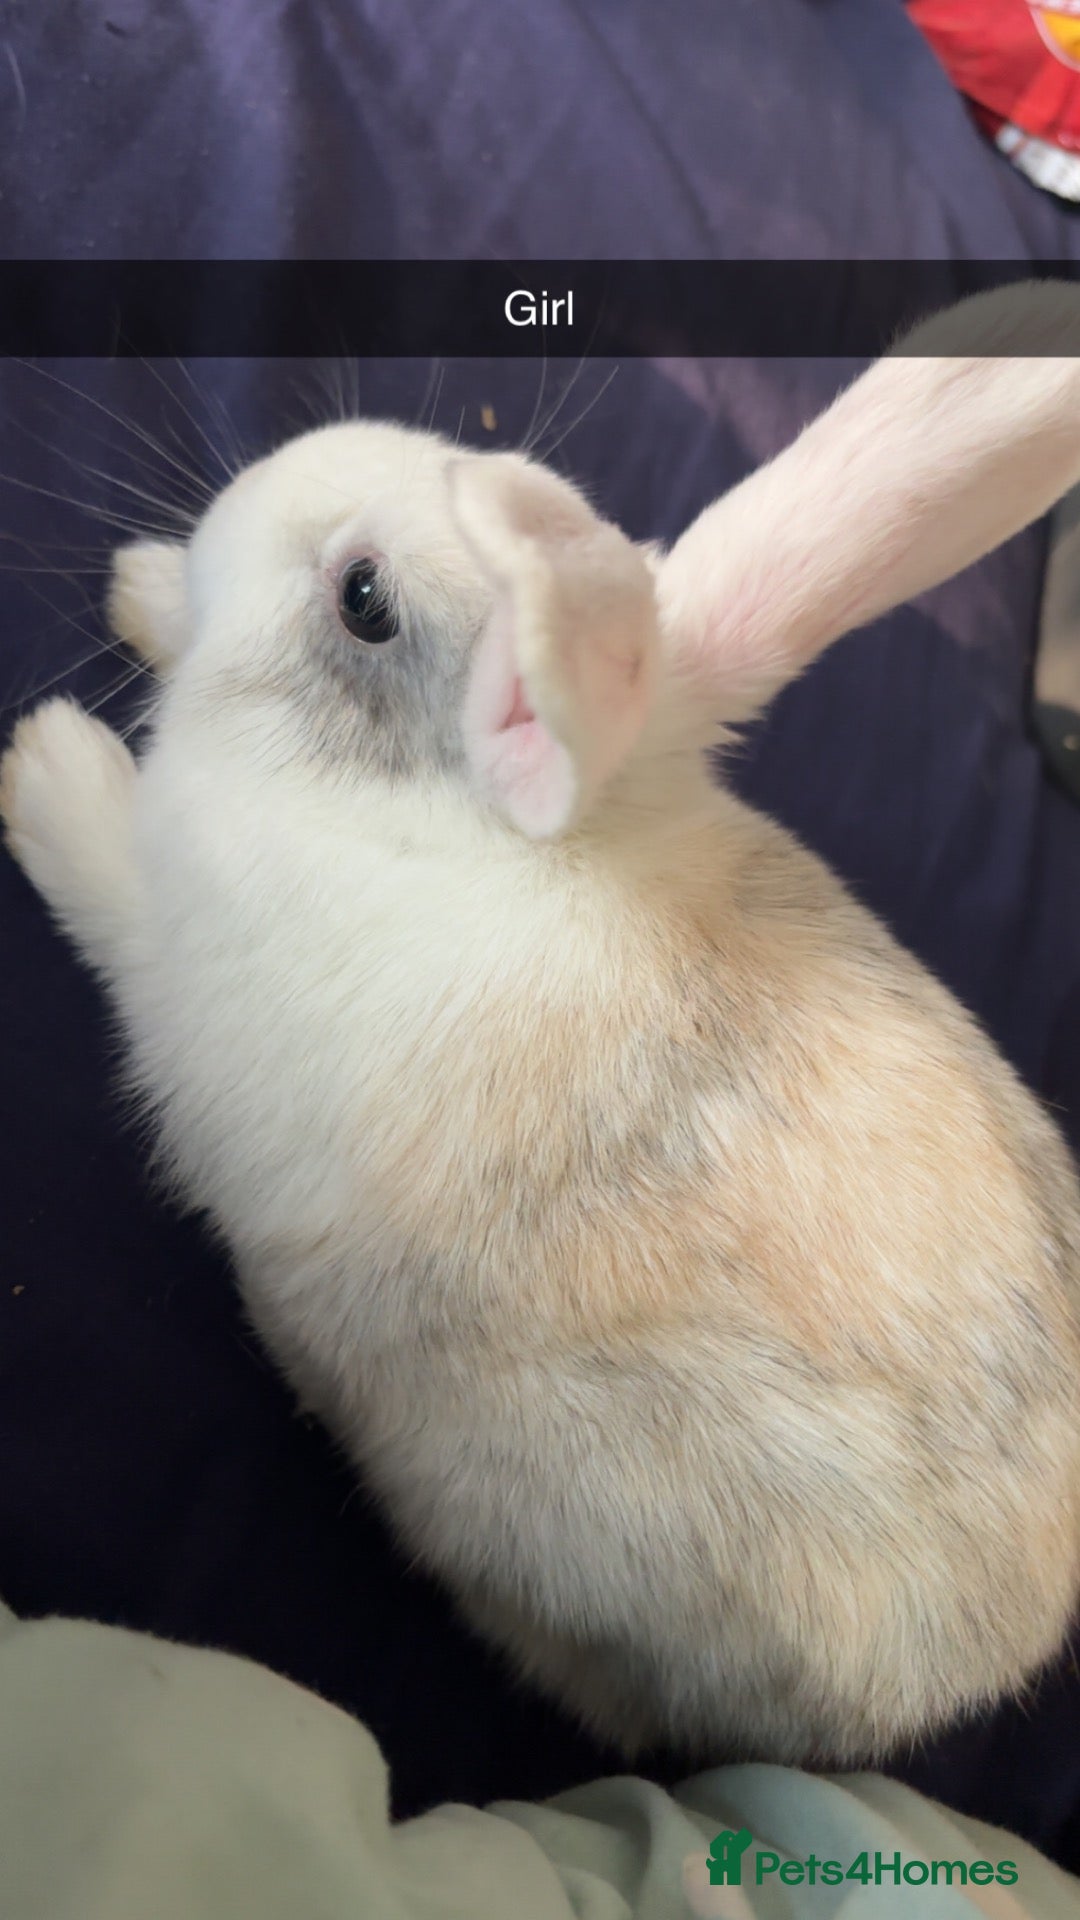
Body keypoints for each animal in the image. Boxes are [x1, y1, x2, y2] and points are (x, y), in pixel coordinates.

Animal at [7, 281, 1080, 1771]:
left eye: (366, 600)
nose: (262, 485)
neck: (455, 819)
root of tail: (982, 1668)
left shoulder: (170, 949)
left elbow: (104, 877)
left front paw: (41, 764)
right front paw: (142, 585)